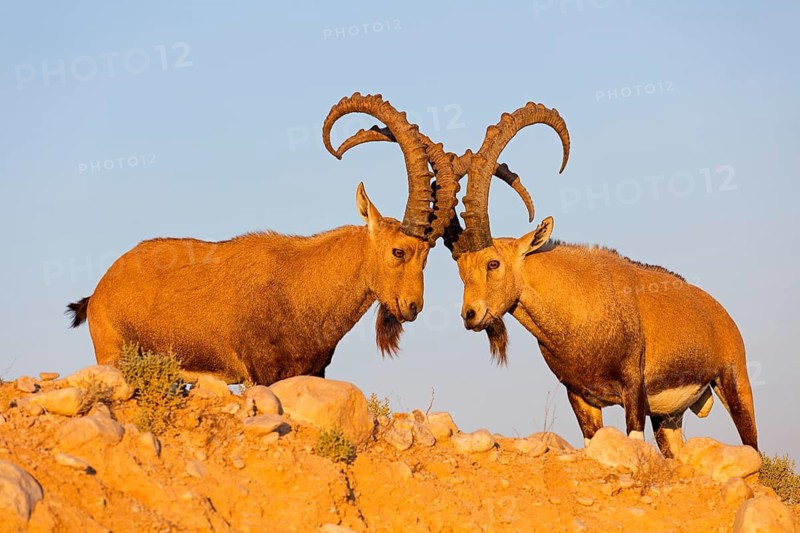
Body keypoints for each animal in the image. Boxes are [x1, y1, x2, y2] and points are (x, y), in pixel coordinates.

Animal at [443, 102, 757, 457]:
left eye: (493, 263)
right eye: (460, 268)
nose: (470, 315)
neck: (578, 311)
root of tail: (719, 313)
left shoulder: (633, 387)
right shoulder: (580, 396)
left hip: (734, 381)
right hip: (668, 417)